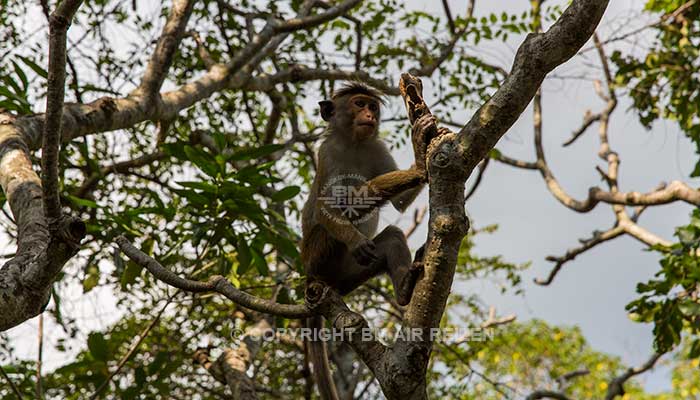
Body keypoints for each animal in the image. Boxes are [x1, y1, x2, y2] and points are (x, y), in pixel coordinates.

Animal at [300, 82, 434, 400]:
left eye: (372, 106)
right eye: (359, 104)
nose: (369, 115)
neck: (354, 143)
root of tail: (314, 279)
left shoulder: (377, 147)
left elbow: (399, 203)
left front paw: (420, 155)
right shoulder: (327, 153)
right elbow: (327, 207)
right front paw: (417, 165)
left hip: (350, 275)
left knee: (391, 238)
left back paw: (404, 289)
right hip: (316, 257)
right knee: (331, 221)